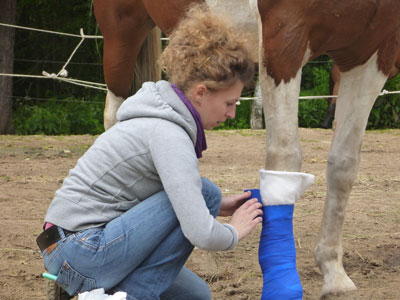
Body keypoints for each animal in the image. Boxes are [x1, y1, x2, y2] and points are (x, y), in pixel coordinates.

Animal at [92, 0, 400, 298]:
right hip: (122, 32)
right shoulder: (284, 39)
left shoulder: (370, 55)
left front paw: (333, 272)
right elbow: (285, 158)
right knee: (114, 115)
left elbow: (344, 164)